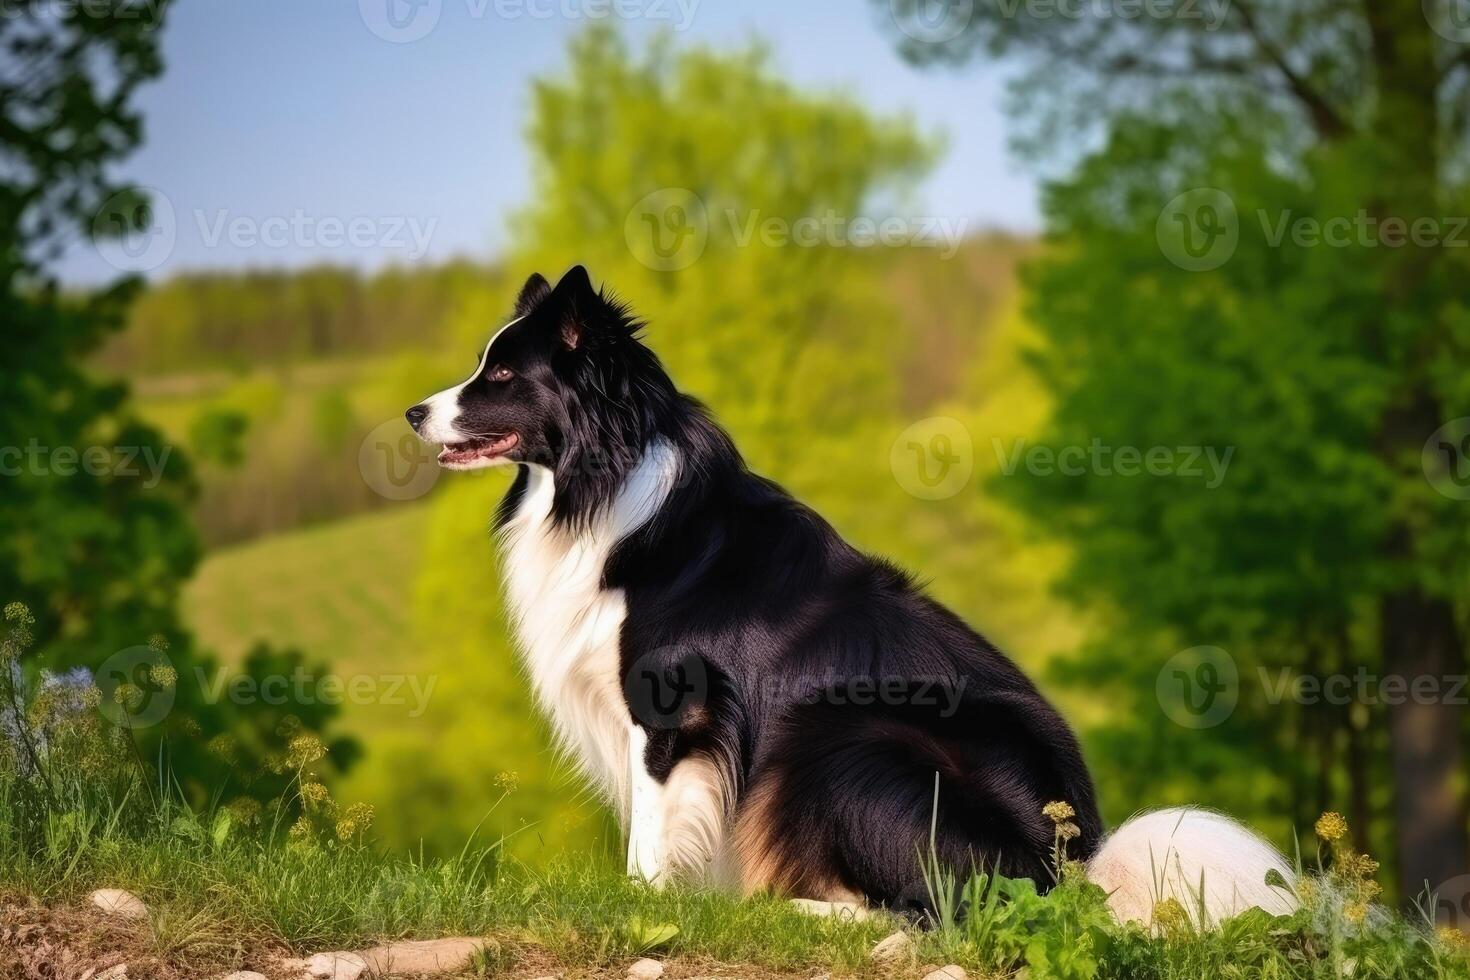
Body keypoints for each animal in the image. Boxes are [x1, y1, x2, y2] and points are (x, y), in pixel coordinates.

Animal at [408, 265, 1293, 922]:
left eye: (502, 373)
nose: (414, 411)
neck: (604, 481)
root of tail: (1073, 871)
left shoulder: (671, 707)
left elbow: (655, 832)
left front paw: (646, 904)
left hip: (845, 739)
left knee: (936, 909)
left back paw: (792, 909)